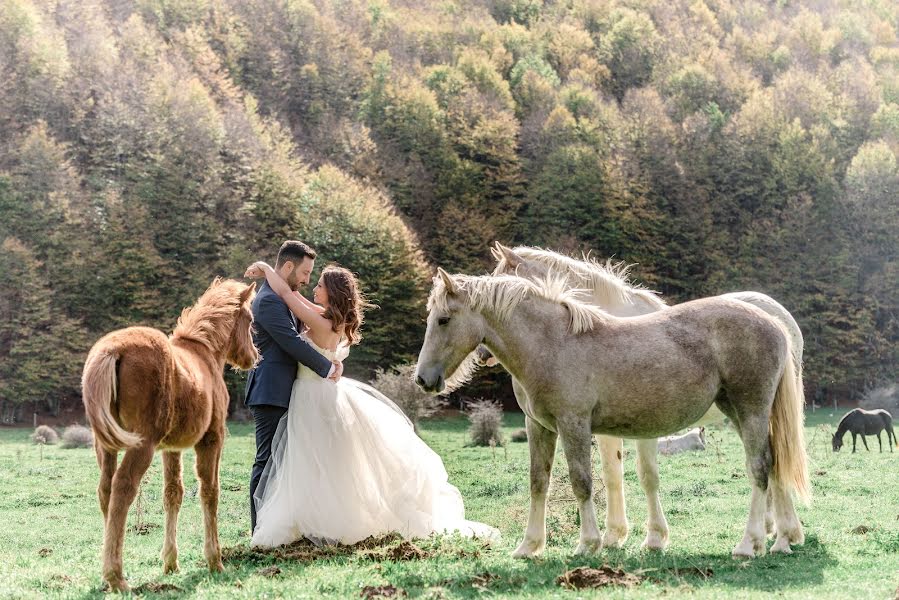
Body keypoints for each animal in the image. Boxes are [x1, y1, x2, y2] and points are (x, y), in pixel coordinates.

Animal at [80, 278, 260, 592]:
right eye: (249, 319)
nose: (254, 357)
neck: (204, 353)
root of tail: (111, 350)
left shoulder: (171, 448)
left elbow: (173, 493)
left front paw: (171, 563)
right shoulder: (212, 439)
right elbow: (210, 492)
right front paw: (215, 561)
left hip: (106, 445)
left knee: (105, 490)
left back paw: (107, 572)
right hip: (142, 444)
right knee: (123, 487)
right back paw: (117, 577)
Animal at [418, 270, 812, 560]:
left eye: (443, 319)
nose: (423, 379)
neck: (553, 343)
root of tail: (774, 322)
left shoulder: (574, 424)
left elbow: (582, 482)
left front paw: (588, 544)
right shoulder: (540, 428)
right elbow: (538, 483)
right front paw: (529, 547)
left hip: (751, 411)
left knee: (759, 469)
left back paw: (749, 544)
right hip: (748, 415)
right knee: (775, 465)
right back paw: (781, 541)